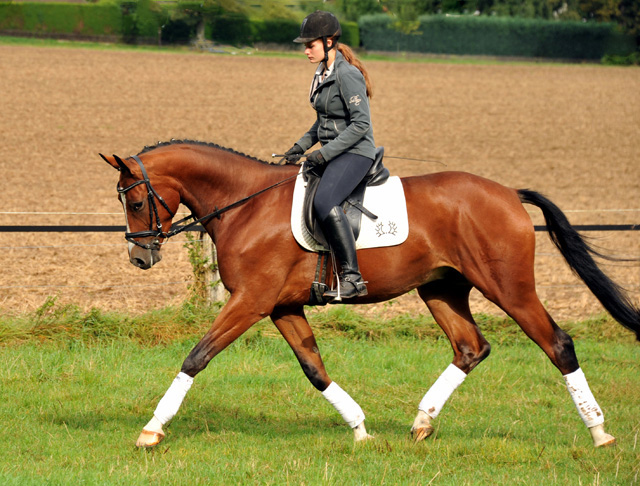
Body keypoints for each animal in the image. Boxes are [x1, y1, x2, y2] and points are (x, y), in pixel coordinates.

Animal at [99, 140, 636, 448]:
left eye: (138, 200)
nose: (140, 258)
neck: (245, 205)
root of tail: (507, 193)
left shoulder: (250, 302)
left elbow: (197, 356)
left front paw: (152, 429)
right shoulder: (282, 306)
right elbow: (314, 370)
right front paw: (359, 429)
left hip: (509, 288)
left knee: (557, 344)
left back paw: (599, 432)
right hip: (440, 289)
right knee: (470, 347)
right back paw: (421, 423)